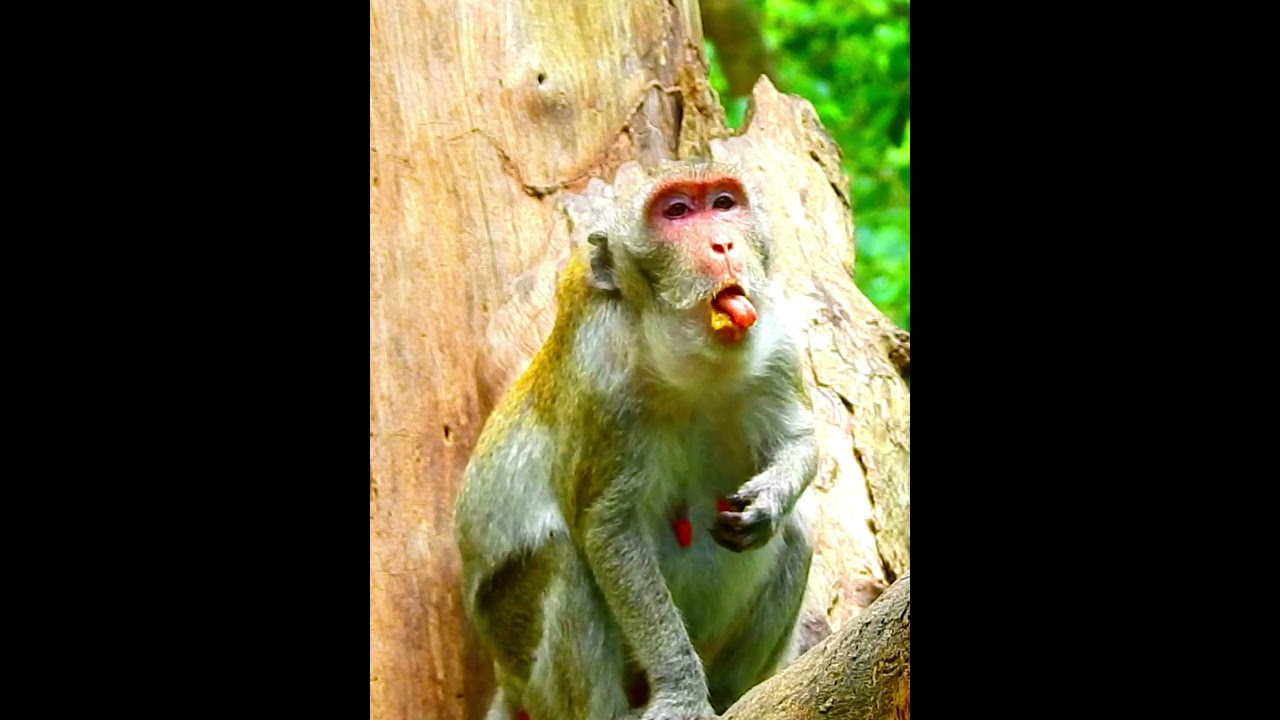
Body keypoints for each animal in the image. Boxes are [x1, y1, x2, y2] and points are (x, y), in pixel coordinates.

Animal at [454, 160, 819, 720]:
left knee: (799, 533)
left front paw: (771, 498)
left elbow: (802, 441)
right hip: (527, 667)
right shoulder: (601, 377)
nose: (722, 244)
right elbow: (610, 527)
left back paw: (735, 693)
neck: (693, 365)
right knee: (561, 558)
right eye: (677, 212)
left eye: (723, 203)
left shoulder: (776, 339)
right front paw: (682, 691)